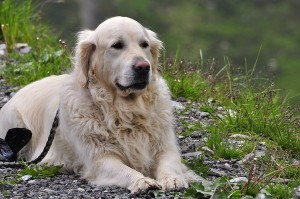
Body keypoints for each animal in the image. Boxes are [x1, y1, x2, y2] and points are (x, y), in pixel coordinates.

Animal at [1, 17, 202, 193]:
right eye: (117, 45)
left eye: (144, 44)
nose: (144, 67)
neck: (127, 110)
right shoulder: (99, 158)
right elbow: (124, 170)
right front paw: (142, 180)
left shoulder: (165, 147)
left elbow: (169, 163)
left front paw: (173, 179)